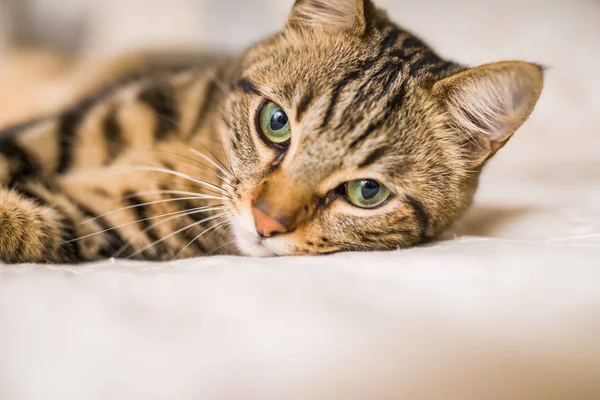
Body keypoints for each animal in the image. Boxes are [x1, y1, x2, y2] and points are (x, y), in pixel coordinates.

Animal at [0, 0, 544, 264]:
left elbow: (32, 223)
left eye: (367, 192)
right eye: (275, 122)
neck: (198, 150)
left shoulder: (105, 219)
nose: (265, 222)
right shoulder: (59, 130)